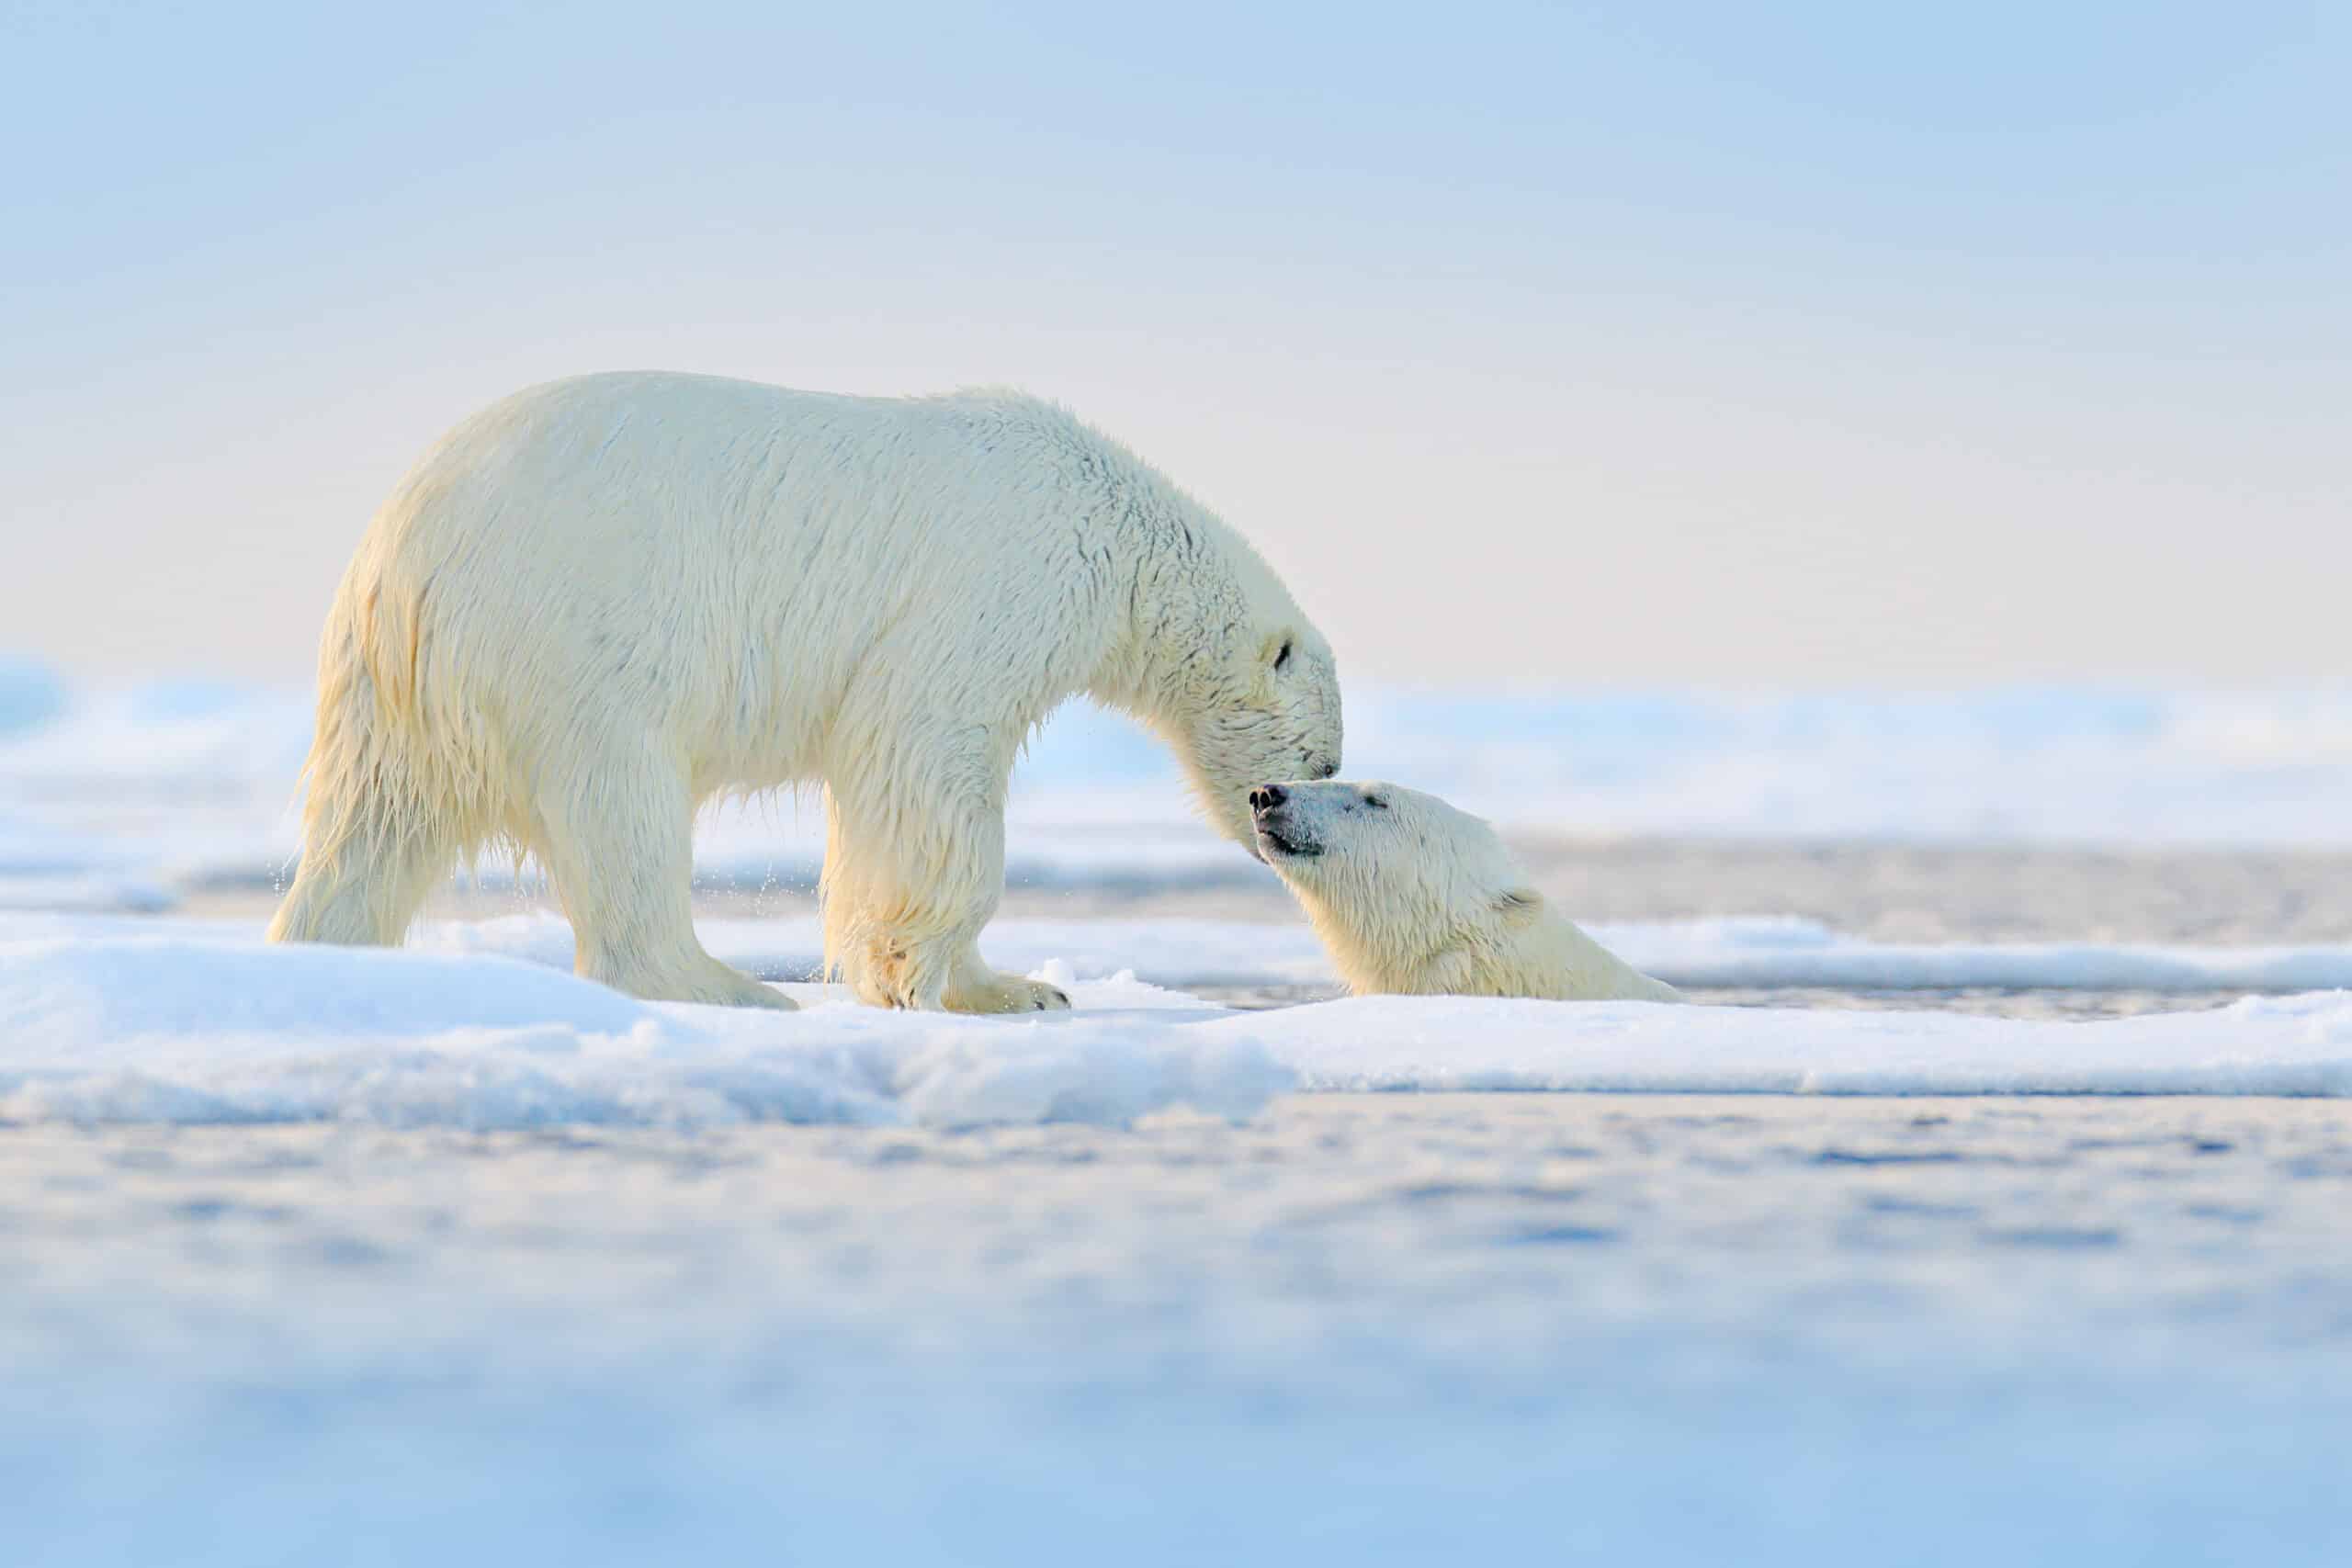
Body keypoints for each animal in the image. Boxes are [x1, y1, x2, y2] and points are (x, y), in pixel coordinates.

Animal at [267, 371, 1342, 1013]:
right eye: (1318, 757)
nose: (1272, 823)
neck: (1115, 532)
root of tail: (397, 551)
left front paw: (1023, 989)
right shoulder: (995, 587)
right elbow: (923, 754)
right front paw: (937, 979)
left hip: (398, 692)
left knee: (371, 829)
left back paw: (320, 955)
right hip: (572, 634)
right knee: (622, 807)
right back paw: (727, 985)